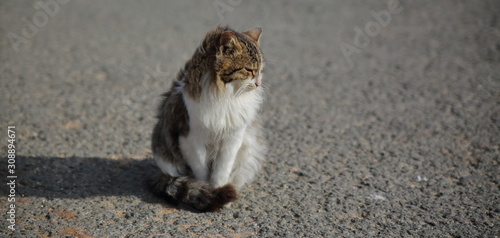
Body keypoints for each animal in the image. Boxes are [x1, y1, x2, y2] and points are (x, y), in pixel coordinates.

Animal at [150, 26, 268, 212]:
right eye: (249, 70)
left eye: (261, 70)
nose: (259, 83)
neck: (226, 96)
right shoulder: (190, 140)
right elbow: (202, 172)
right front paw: (209, 193)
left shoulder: (232, 139)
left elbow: (221, 171)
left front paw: (220, 193)